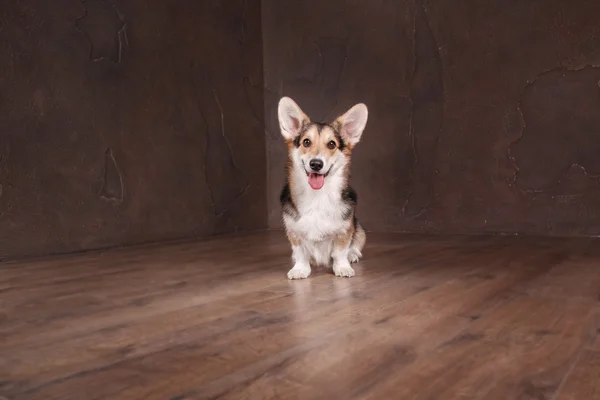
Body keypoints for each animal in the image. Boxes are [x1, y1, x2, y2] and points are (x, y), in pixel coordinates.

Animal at [276, 96, 366, 278]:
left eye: (331, 144)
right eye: (306, 142)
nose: (316, 164)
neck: (317, 196)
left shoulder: (345, 230)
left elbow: (340, 251)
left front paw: (342, 267)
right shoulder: (294, 232)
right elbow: (300, 252)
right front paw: (300, 269)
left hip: (360, 230)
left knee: (354, 245)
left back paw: (353, 255)